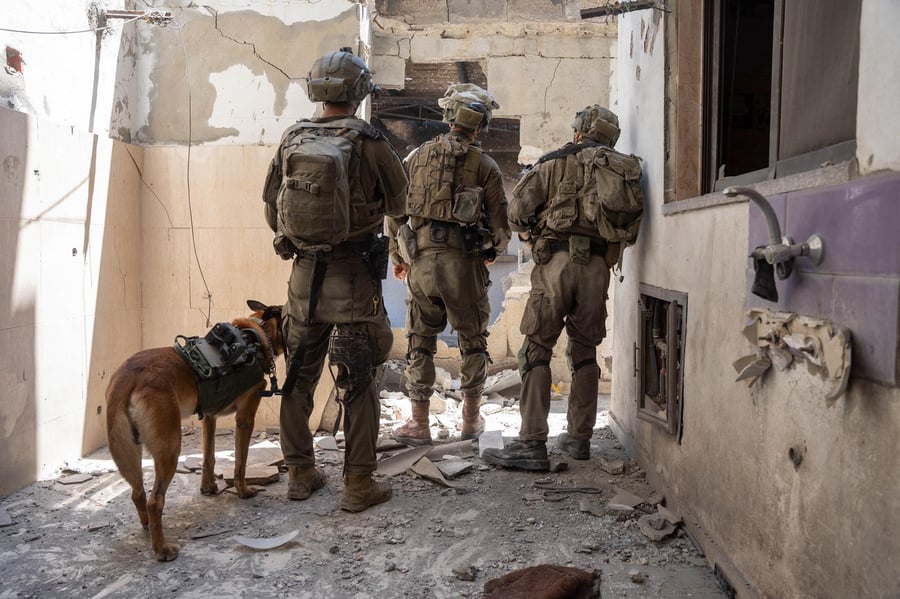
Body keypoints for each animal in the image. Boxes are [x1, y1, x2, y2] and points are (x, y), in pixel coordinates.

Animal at [107, 300, 286, 564]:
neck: (253, 335)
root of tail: (128, 374)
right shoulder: (245, 419)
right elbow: (240, 463)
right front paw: (243, 491)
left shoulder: (209, 418)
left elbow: (208, 457)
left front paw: (208, 487)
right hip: (170, 448)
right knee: (154, 501)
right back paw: (162, 550)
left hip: (130, 450)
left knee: (138, 493)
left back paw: (148, 526)